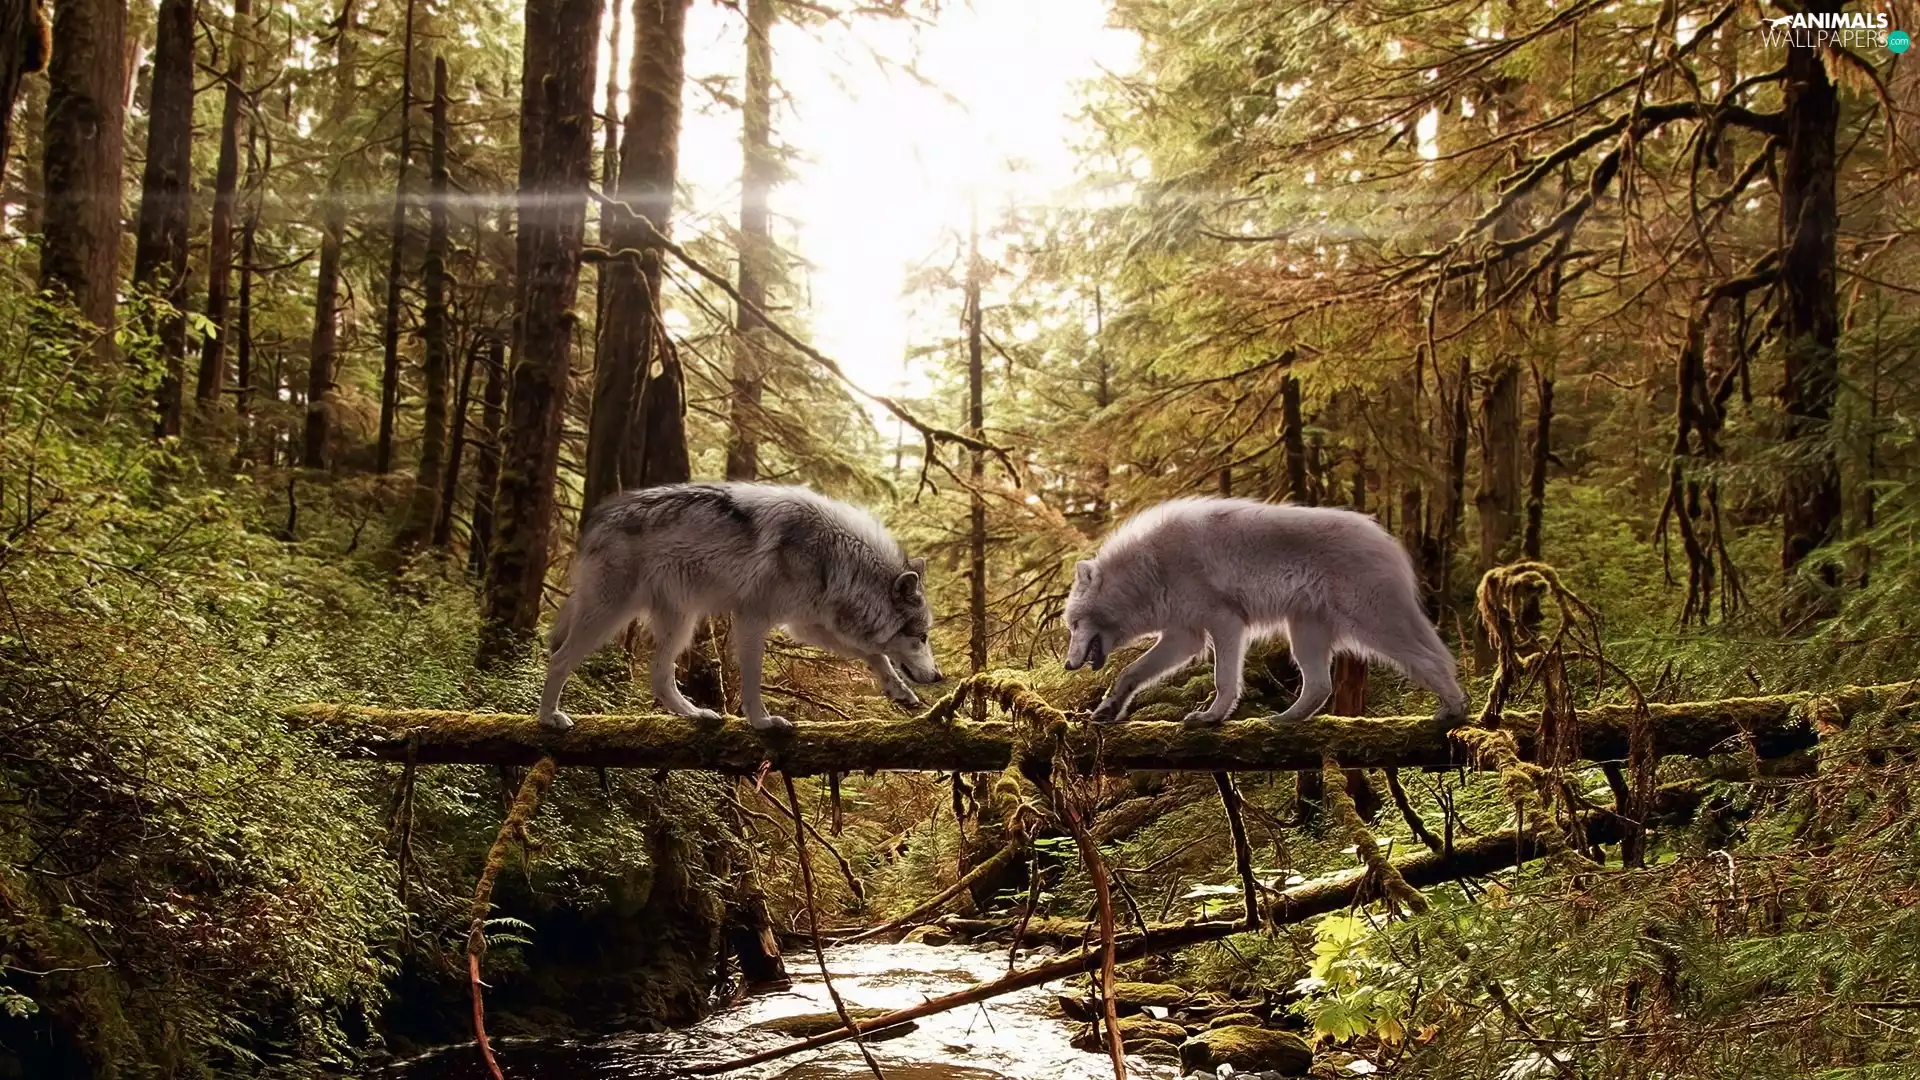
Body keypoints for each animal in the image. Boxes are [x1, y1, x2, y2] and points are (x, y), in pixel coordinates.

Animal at [538, 483, 943, 732]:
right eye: (922, 636)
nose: (939, 676)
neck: (834, 557)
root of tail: (596, 519)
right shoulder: (753, 619)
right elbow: (751, 680)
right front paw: (762, 722)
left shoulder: (808, 625)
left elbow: (874, 654)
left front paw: (899, 691)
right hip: (609, 616)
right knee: (558, 660)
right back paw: (547, 717)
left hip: (681, 623)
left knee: (660, 677)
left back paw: (696, 714)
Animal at [1062, 497, 1466, 726]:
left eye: (1074, 624)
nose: (1067, 664)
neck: (1149, 569)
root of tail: (1389, 541)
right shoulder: (1184, 637)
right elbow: (1129, 673)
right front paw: (1108, 709)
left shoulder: (1224, 623)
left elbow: (1224, 681)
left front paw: (1211, 717)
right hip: (1305, 635)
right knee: (1320, 686)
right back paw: (1285, 720)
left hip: (1375, 627)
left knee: (1433, 660)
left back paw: (1454, 709)